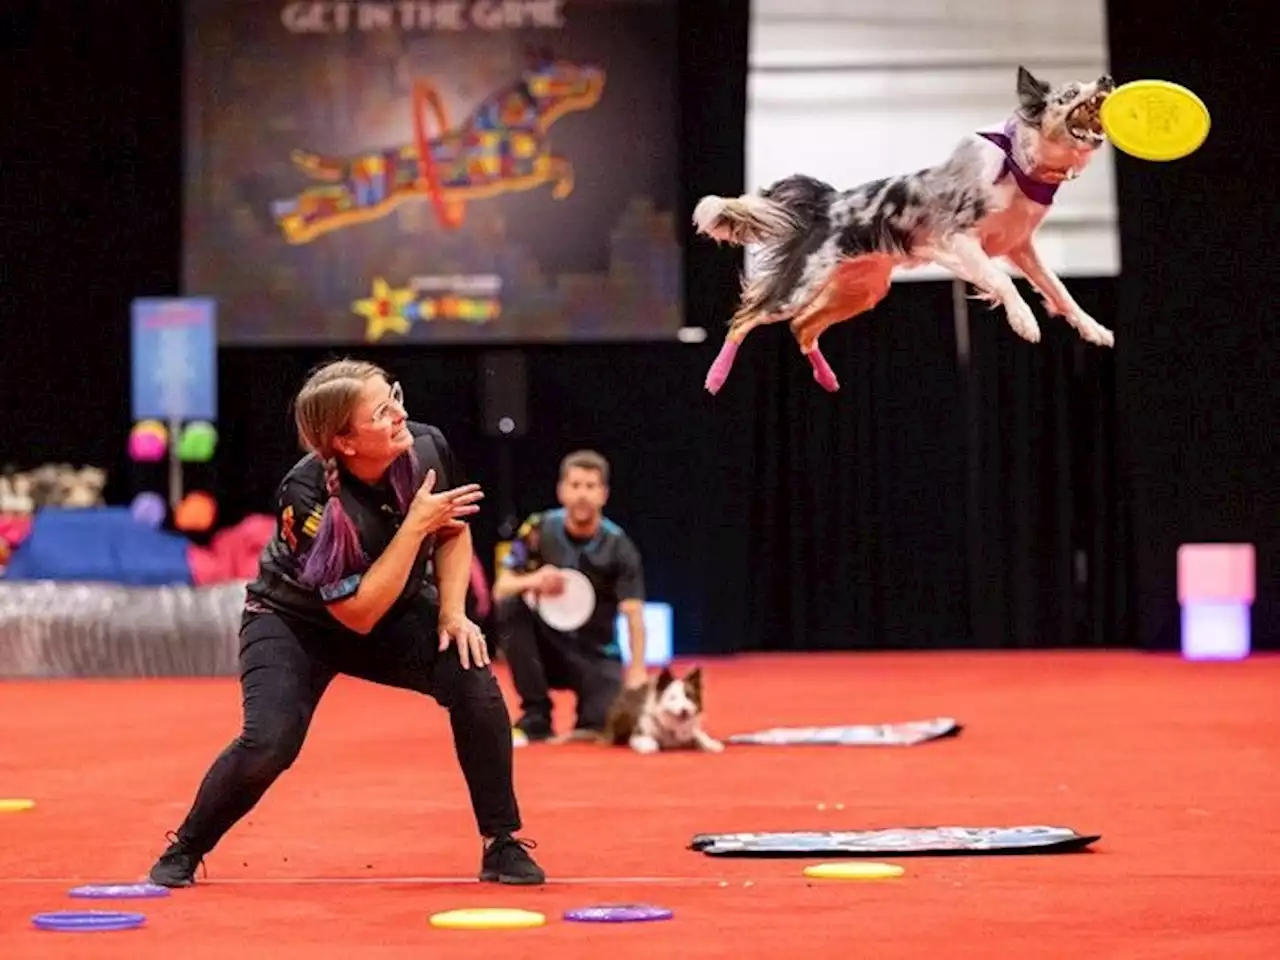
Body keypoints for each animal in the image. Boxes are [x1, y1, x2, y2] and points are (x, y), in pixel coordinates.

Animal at [696, 68, 1116, 394]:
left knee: (802, 327)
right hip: (801, 286)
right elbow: (1002, 280)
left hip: (862, 290)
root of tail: (828, 201)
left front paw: (1094, 329)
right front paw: (1024, 321)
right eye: (1068, 94)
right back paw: (715, 377)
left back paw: (827, 379)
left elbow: (1058, 291)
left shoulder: (1020, 247)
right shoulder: (959, 239)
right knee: (747, 317)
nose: (1107, 78)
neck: (1020, 166)